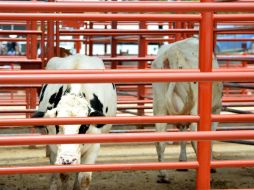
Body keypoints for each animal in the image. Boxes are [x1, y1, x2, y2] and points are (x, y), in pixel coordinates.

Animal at [32, 54, 117, 189]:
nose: (68, 160)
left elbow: (84, 179)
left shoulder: (94, 146)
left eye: (84, 127)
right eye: (57, 126)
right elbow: (63, 175)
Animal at [152, 36, 223, 183]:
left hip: (160, 106)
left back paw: (163, 174)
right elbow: (211, 139)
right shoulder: (216, 110)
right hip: (195, 108)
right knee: (196, 138)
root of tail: (173, 52)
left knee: (159, 140)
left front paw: (182, 161)